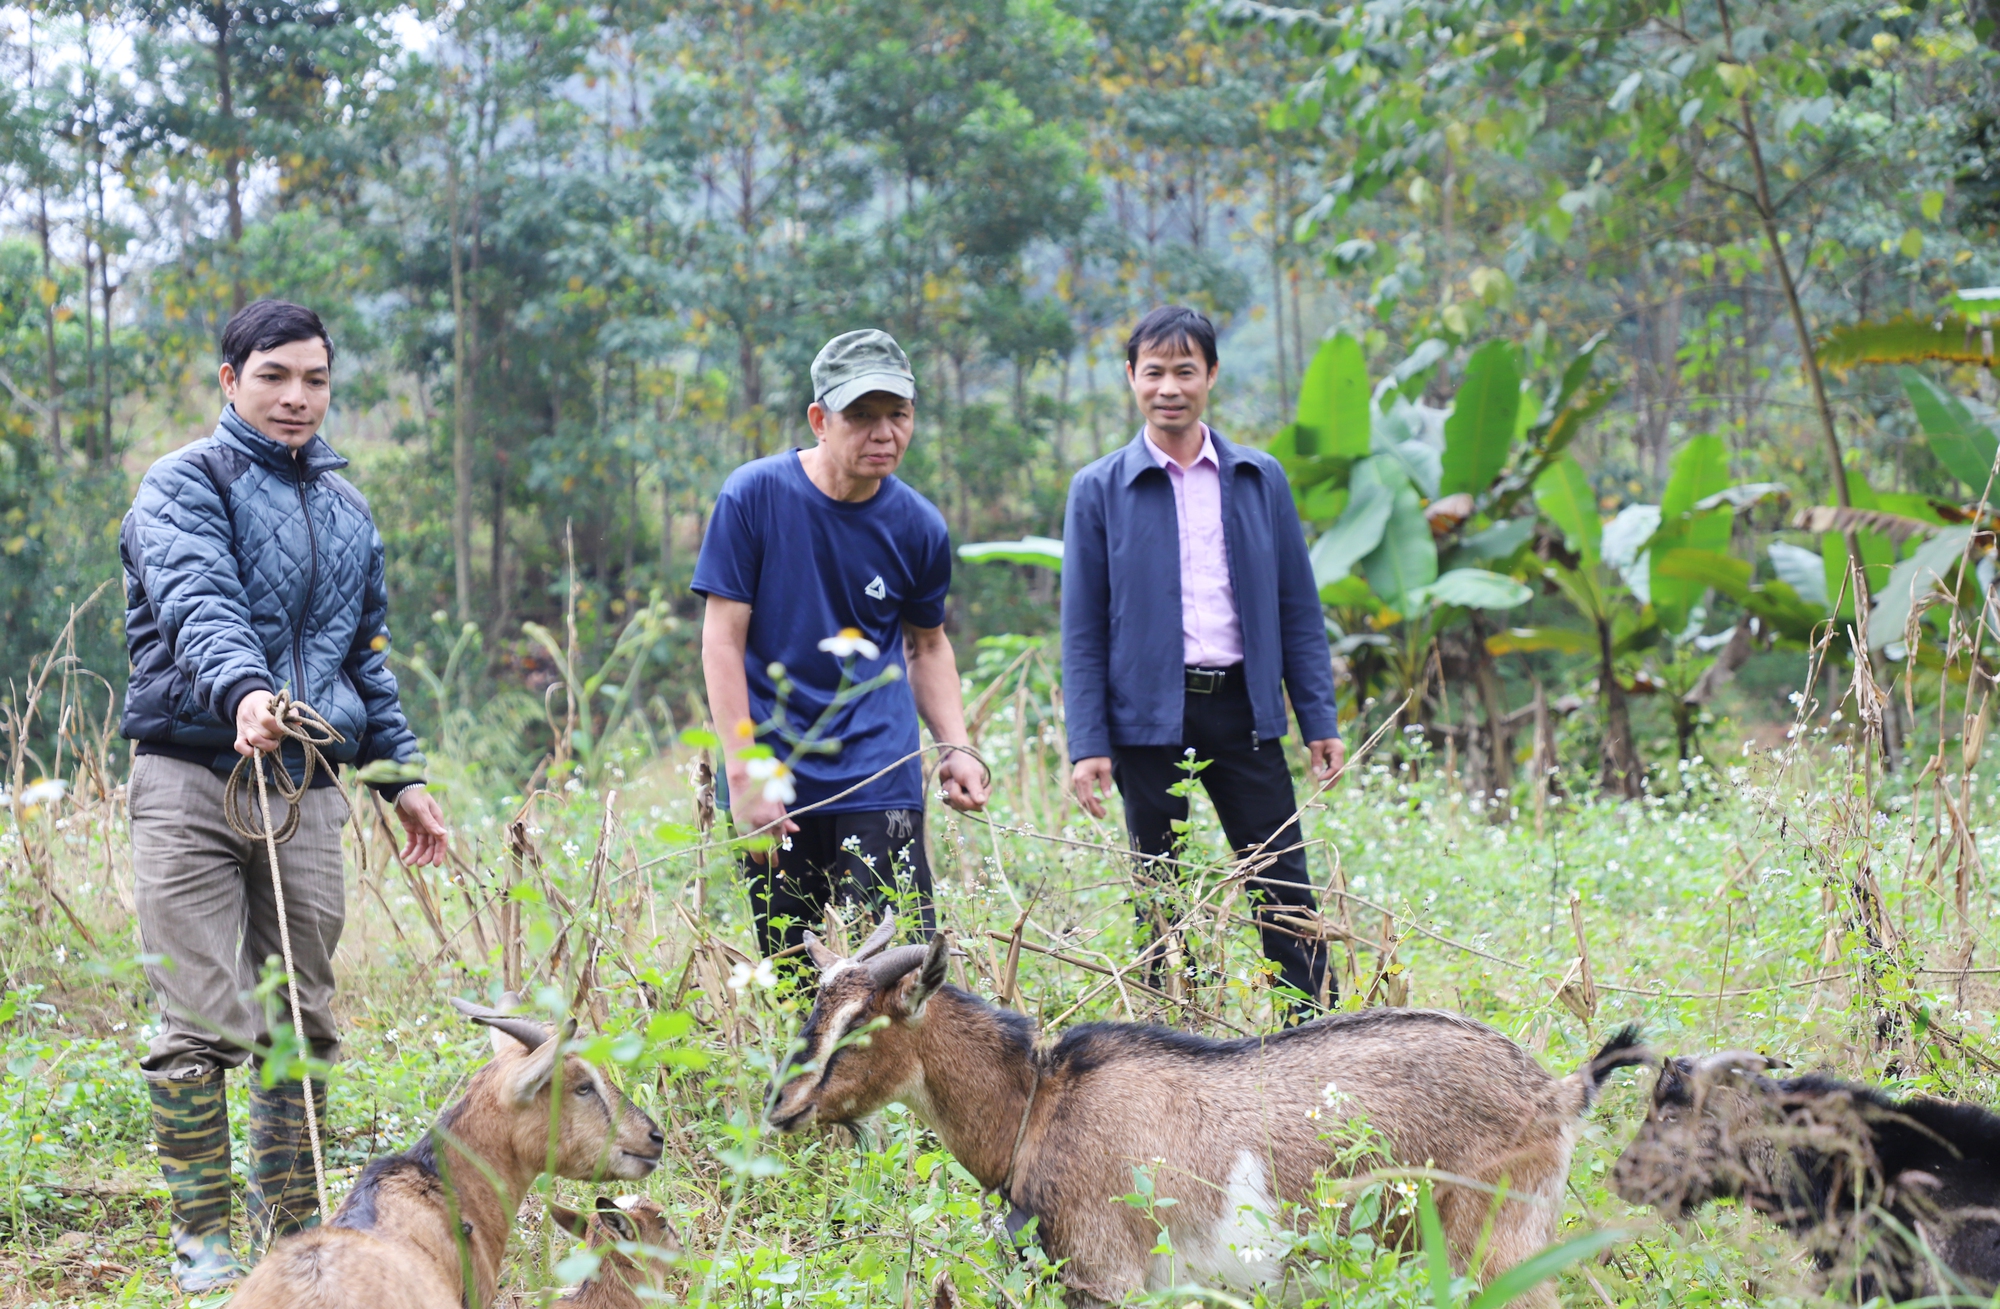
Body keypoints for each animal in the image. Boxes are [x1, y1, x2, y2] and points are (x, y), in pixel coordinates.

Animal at [764, 916, 1640, 1304]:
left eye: (863, 1023)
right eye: (814, 1004)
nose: (781, 1107)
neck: (1037, 1106)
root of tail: (1557, 1090)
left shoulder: (1109, 1276)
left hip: (1495, 1252)